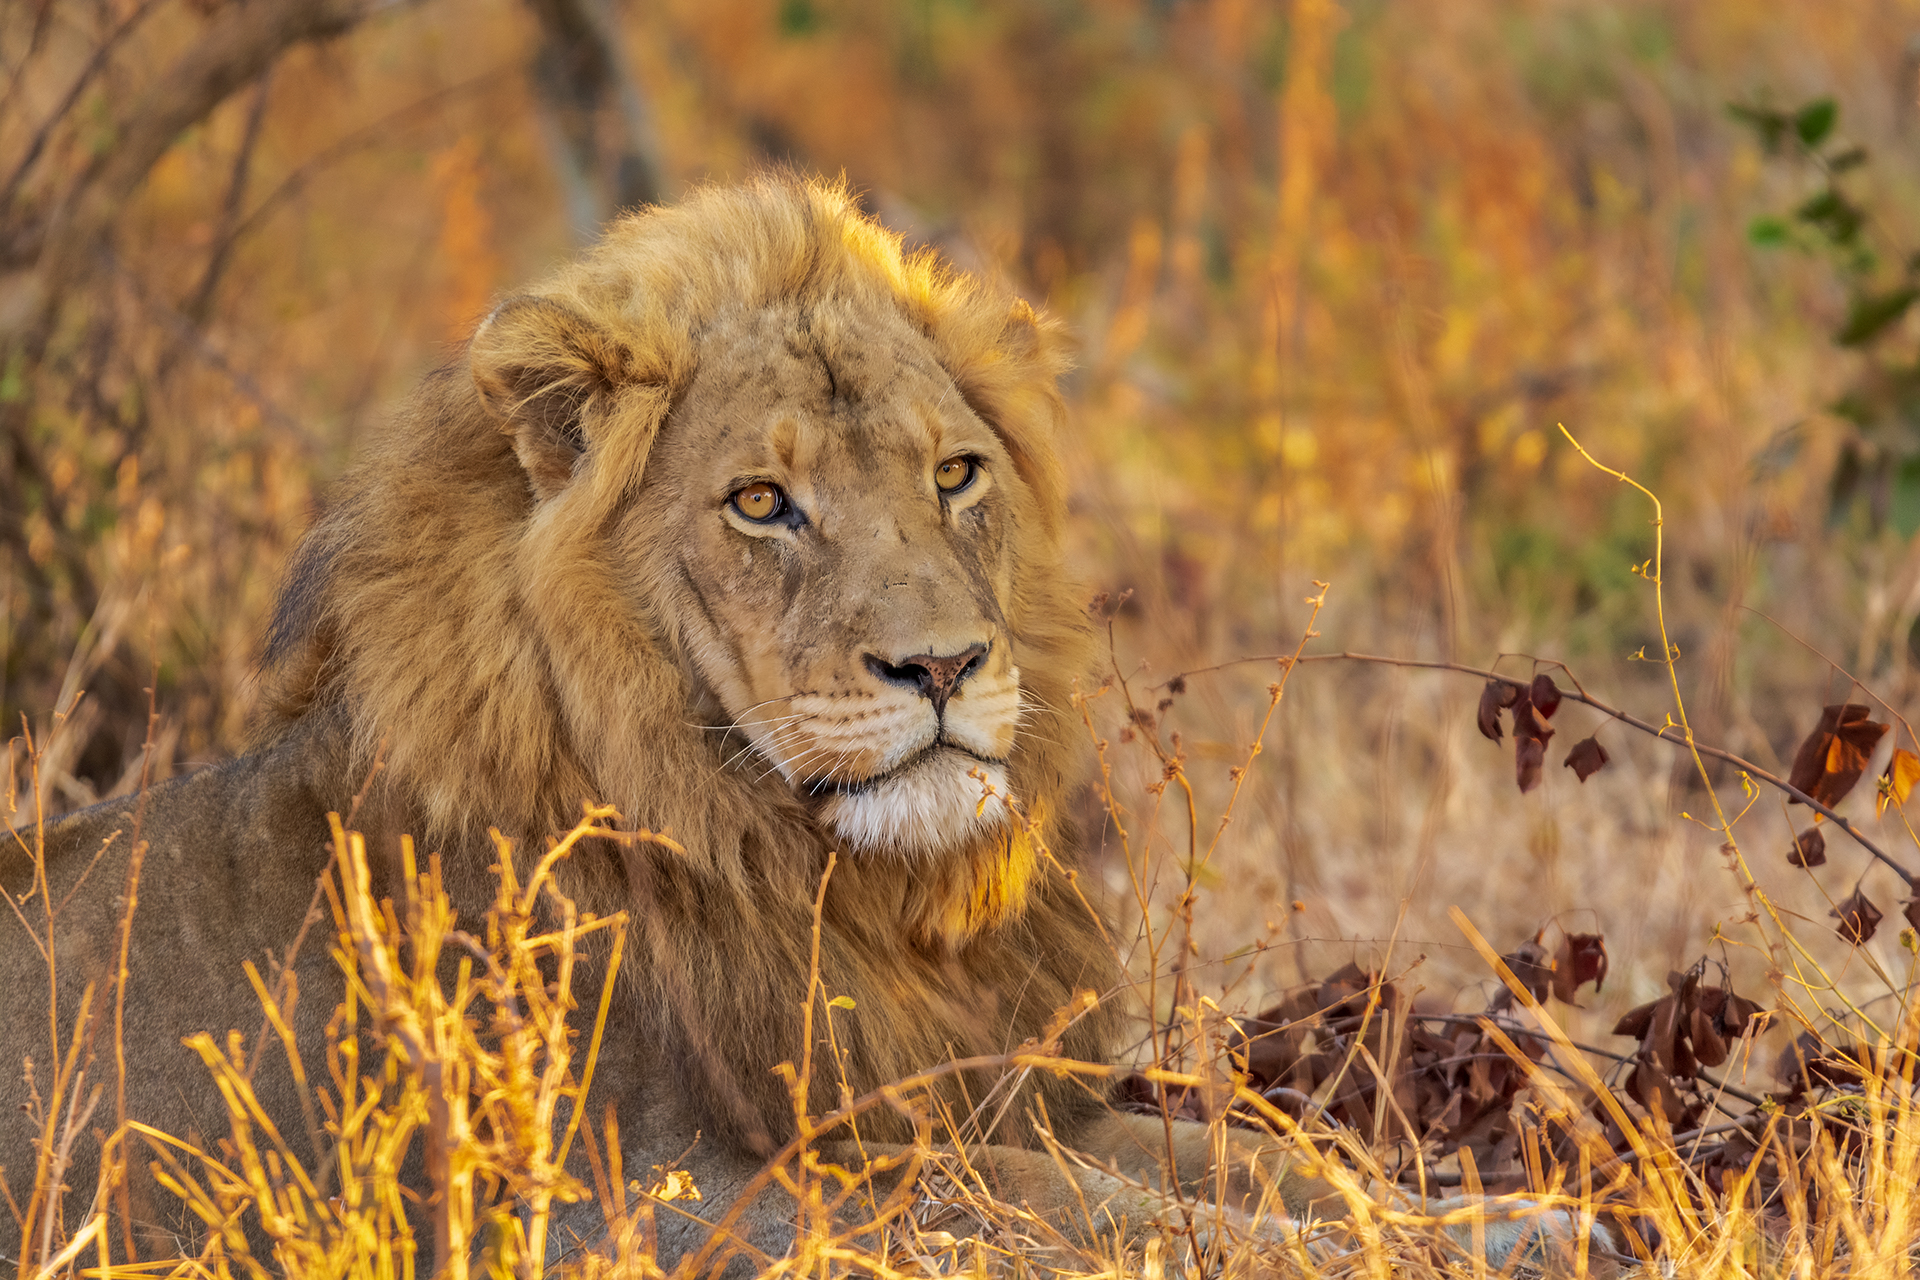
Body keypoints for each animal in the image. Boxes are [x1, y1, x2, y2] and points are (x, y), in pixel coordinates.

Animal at [3, 176, 1603, 1272]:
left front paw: (1515, 1217)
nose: (944, 665)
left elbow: (1259, 1161)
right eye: (762, 503)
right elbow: (1073, 1212)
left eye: (955, 473)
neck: (823, 879)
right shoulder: (651, 1193)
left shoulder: (988, 1085)